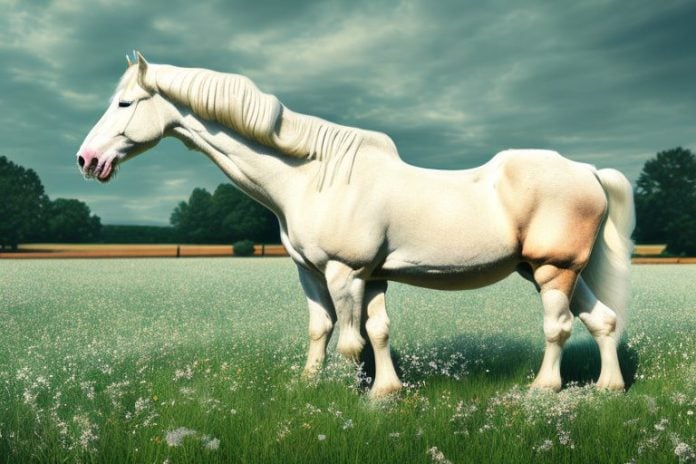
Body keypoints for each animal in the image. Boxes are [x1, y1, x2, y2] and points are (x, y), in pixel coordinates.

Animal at [76, 52, 635, 397]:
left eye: (125, 103)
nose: (86, 160)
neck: (311, 175)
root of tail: (587, 170)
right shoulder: (339, 274)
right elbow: (349, 330)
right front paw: (365, 390)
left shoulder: (344, 272)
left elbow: (350, 340)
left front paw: (348, 399)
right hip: (556, 272)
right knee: (603, 320)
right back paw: (609, 388)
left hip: (552, 271)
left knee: (558, 327)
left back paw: (543, 389)